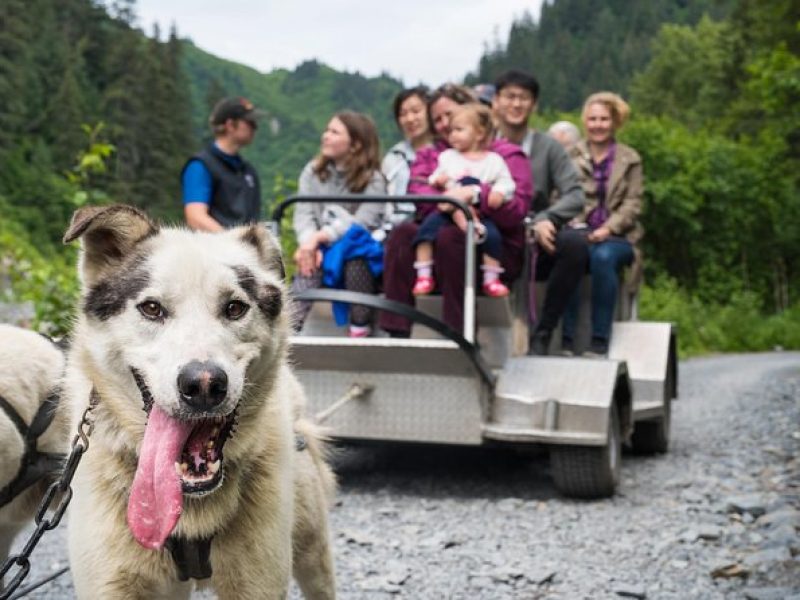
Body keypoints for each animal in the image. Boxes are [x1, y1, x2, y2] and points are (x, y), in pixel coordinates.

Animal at [62, 204, 334, 596]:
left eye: (235, 307)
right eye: (152, 308)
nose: (203, 384)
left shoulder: (258, 584)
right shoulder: (110, 585)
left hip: (313, 555)